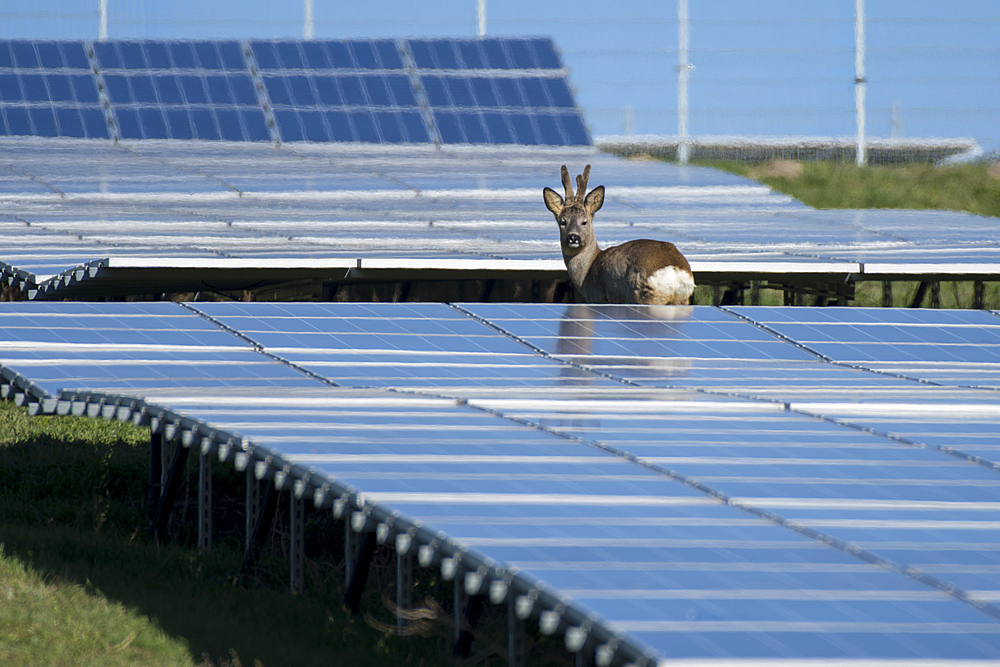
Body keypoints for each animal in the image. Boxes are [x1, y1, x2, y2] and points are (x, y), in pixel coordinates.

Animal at [540, 164, 696, 306]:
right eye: (563, 222)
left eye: (584, 222)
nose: (573, 237)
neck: (588, 270)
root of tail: (675, 270)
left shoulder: (598, 297)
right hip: (682, 300)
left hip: (645, 296)